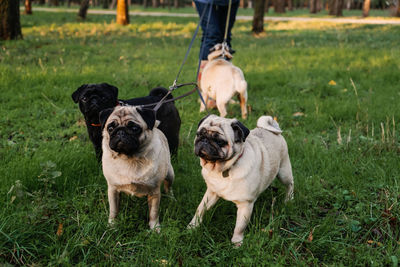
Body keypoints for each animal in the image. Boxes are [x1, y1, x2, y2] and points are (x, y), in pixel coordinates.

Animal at [188, 114, 294, 246]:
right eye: (199, 134)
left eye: (220, 141)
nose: (204, 140)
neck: (223, 170)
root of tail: (272, 129)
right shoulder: (211, 192)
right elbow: (200, 209)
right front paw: (193, 226)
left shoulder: (245, 204)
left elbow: (239, 227)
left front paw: (236, 243)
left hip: (283, 172)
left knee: (290, 184)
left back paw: (289, 199)